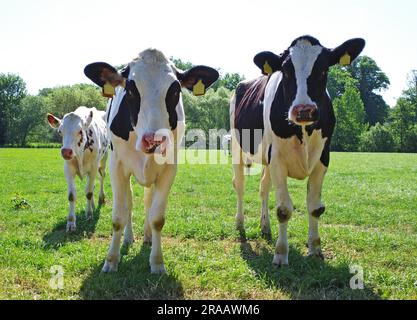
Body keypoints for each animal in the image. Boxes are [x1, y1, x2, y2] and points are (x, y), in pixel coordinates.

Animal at [83, 48, 218, 274]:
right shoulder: (116, 166)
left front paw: (157, 262)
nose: (154, 139)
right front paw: (111, 260)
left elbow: (157, 218)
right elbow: (118, 216)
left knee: (147, 202)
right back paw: (128, 238)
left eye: (175, 91)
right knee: (129, 202)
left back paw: (147, 237)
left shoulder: (169, 169)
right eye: (130, 90)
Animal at [231, 35, 364, 266]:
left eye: (324, 69)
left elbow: (315, 207)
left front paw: (315, 249)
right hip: (237, 148)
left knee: (263, 188)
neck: (303, 131)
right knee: (239, 186)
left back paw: (265, 227)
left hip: (266, 159)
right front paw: (280, 254)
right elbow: (284, 209)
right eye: (285, 71)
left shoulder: (322, 159)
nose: (303, 110)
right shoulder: (277, 160)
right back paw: (240, 224)